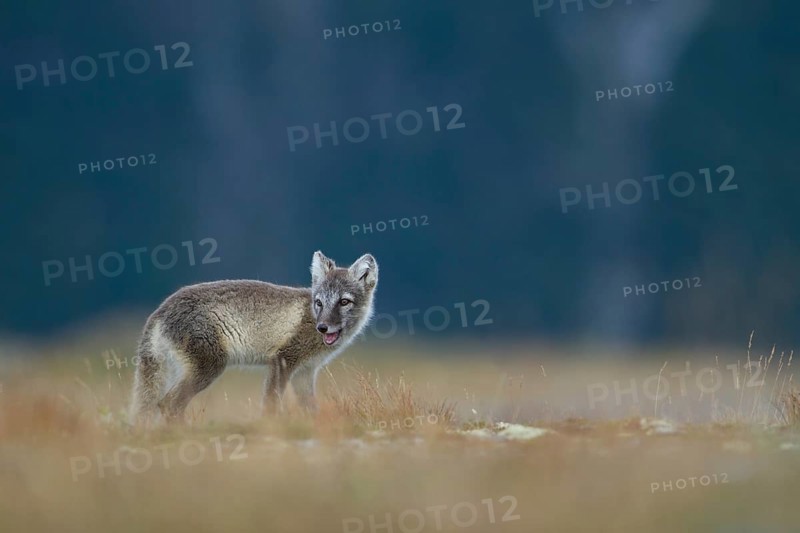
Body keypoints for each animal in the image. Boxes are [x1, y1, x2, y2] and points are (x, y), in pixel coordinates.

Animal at [128, 251, 378, 425]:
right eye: (319, 303)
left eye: (344, 302)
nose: (323, 328)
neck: (310, 314)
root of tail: (159, 311)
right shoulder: (282, 361)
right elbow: (271, 404)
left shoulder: (305, 372)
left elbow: (310, 407)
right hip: (210, 367)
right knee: (168, 404)